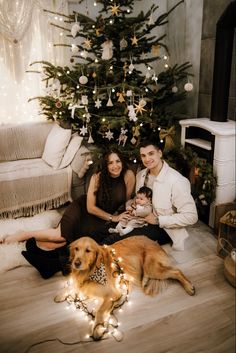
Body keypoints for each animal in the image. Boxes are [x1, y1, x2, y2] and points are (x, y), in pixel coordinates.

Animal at [56, 235, 195, 340]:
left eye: (88, 251)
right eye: (76, 249)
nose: (76, 263)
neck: (91, 271)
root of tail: (152, 241)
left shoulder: (113, 293)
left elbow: (100, 311)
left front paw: (97, 329)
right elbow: (72, 285)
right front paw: (61, 294)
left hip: (152, 269)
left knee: (177, 271)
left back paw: (189, 287)